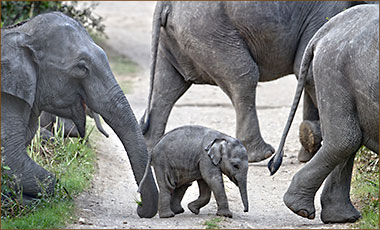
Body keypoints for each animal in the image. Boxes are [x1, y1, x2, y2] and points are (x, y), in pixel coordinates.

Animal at [140, 1, 368, 164]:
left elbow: (307, 67)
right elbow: (308, 65)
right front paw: (312, 145)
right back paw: (262, 155)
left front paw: (308, 148)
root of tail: (165, 4)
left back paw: (152, 151)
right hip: (209, 33)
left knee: (166, 88)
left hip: (177, 37)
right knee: (244, 77)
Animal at [268, 4, 378, 224]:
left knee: (347, 140)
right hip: (335, 69)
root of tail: (326, 29)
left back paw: (341, 217)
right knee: (346, 140)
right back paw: (302, 210)